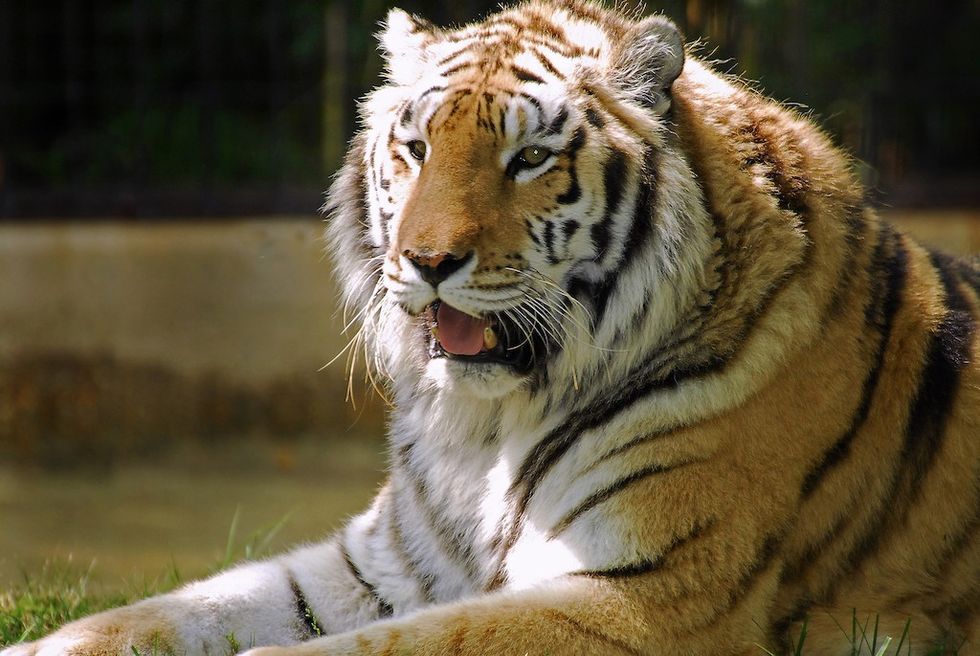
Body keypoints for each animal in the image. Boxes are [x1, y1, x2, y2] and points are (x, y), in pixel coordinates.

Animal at [4, 1, 978, 655]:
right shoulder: (381, 564)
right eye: (417, 149)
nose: (427, 261)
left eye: (531, 158)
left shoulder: (653, 594)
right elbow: (159, 610)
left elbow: (386, 646)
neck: (485, 426)